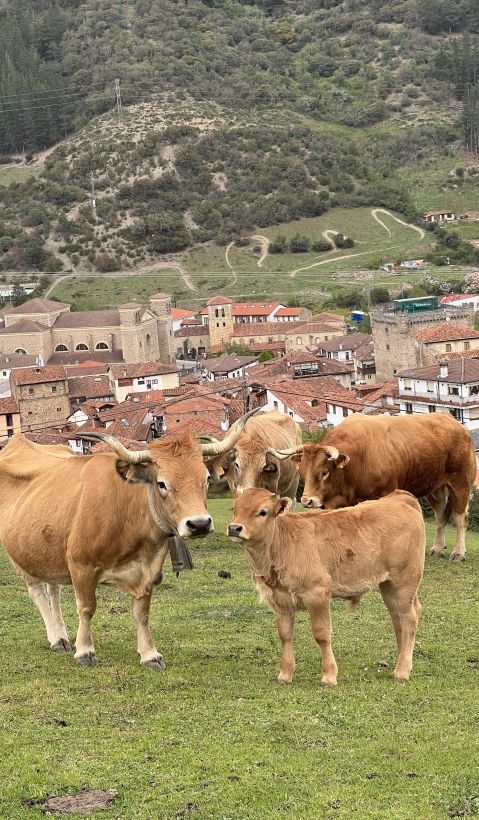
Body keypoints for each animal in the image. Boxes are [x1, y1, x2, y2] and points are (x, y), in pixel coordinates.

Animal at [0, 413, 253, 670]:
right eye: (161, 483)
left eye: (206, 478)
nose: (199, 524)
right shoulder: (81, 565)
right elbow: (86, 608)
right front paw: (85, 650)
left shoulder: (148, 569)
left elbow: (142, 613)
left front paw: (149, 653)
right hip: (22, 557)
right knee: (38, 593)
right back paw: (55, 637)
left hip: (49, 552)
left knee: (54, 590)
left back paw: (61, 636)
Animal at [228, 488, 425, 685]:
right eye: (234, 508)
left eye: (263, 512)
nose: (234, 528)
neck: (280, 544)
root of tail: (399, 497)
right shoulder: (280, 601)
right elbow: (285, 636)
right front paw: (285, 674)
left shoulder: (317, 594)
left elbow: (321, 635)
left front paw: (329, 675)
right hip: (388, 585)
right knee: (397, 618)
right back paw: (402, 662)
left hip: (405, 582)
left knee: (409, 620)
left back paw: (402, 671)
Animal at [269, 414, 476, 562]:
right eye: (303, 471)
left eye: (324, 472)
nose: (307, 500)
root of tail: (455, 423)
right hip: (435, 487)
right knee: (441, 516)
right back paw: (438, 548)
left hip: (461, 482)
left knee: (460, 518)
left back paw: (458, 552)